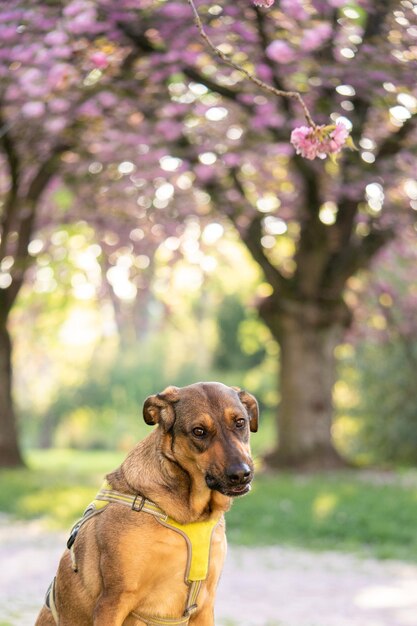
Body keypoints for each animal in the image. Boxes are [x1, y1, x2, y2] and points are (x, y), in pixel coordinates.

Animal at [35, 380, 256, 624]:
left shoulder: (205, 606)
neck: (190, 514)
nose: (241, 474)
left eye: (240, 422)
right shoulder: (112, 602)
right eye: (199, 431)